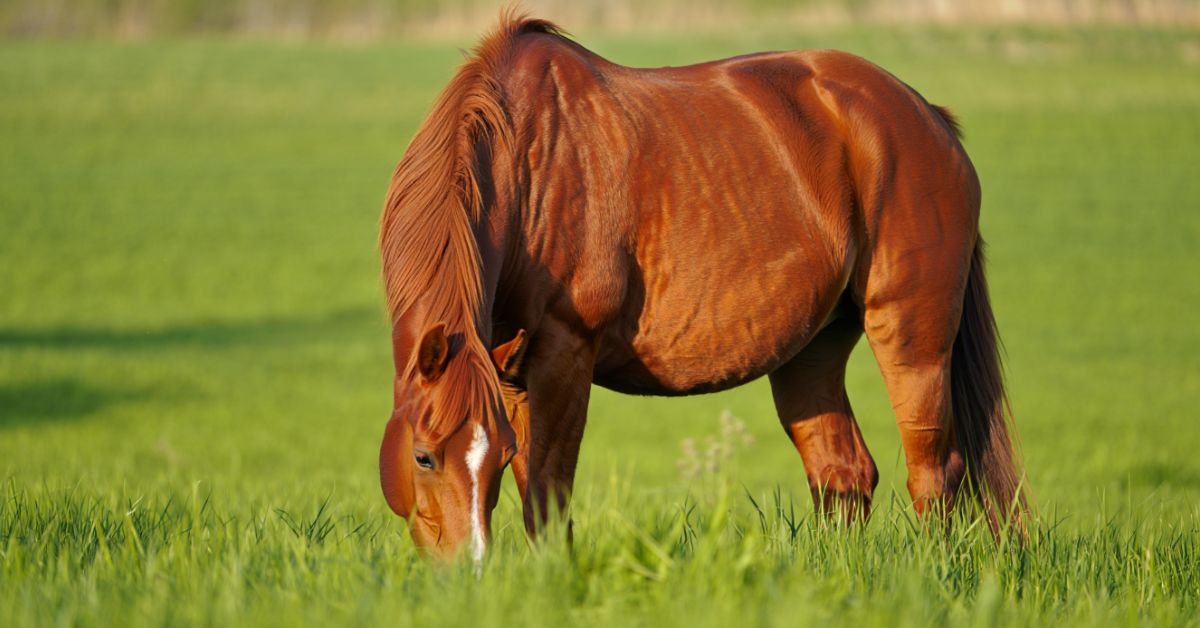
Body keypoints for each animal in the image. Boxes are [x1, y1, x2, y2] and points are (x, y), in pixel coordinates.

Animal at [378, 11, 1025, 561]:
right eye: (423, 456)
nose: (465, 570)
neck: (528, 161)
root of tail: (927, 115)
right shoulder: (511, 372)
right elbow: (536, 486)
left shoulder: (564, 352)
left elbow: (549, 493)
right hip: (812, 350)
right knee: (842, 474)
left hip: (912, 337)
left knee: (934, 474)